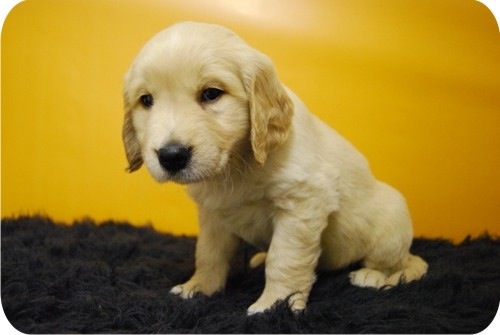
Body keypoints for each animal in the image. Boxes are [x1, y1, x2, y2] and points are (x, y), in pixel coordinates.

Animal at [123, 21, 428, 316]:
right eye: (146, 100)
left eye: (211, 94)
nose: (171, 156)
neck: (236, 164)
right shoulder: (213, 214)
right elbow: (209, 253)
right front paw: (198, 287)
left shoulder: (302, 205)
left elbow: (284, 260)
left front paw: (275, 305)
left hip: (392, 222)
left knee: (401, 265)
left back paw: (373, 276)